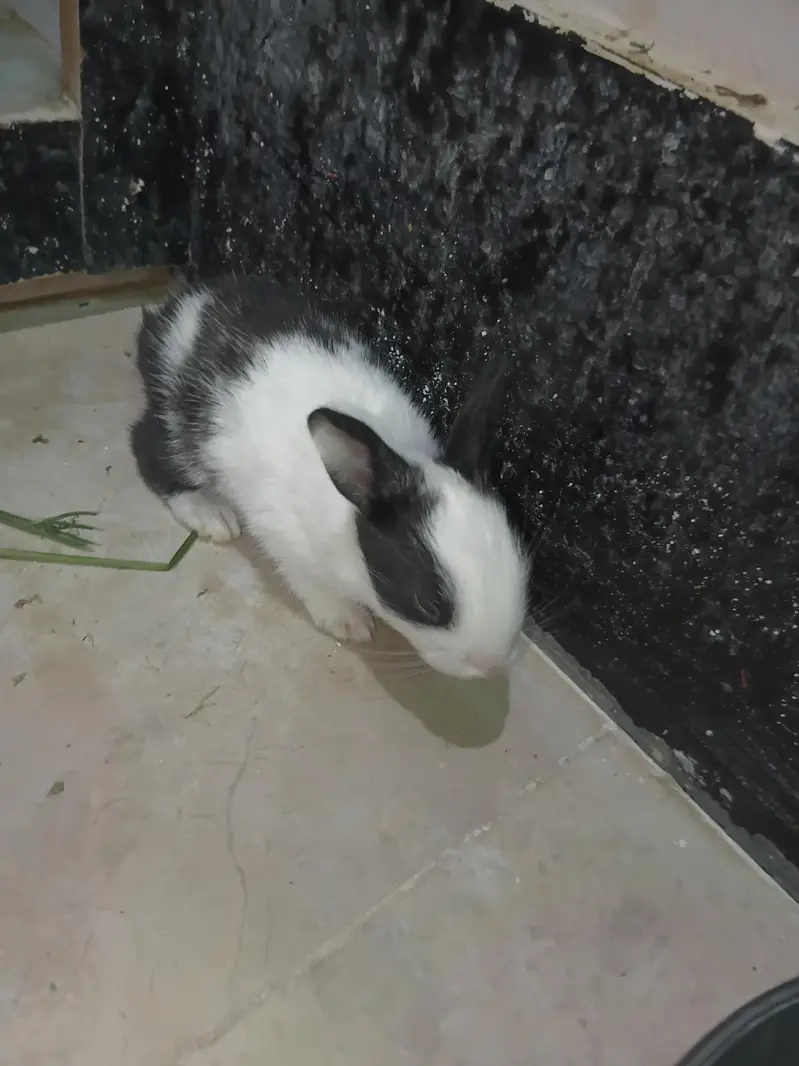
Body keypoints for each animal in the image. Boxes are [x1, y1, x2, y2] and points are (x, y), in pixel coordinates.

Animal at [130, 276, 529, 680]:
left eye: (521, 568)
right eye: (428, 604)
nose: (491, 665)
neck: (348, 521)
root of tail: (178, 309)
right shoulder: (285, 538)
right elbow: (311, 584)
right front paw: (351, 623)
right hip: (178, 428)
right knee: (147, 447)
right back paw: (211, 514)